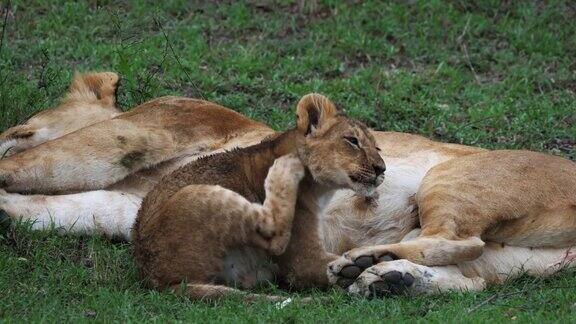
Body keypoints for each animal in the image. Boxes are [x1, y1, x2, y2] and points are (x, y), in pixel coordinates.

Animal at [1, 71, 576, 298]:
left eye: (21, 126)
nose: (9, 132)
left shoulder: (143, 129)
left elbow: (37, 165)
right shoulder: (133, 207)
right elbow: (63, 207)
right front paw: (9, 212)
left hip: (449, 177)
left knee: (457, 239)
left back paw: (359, 263)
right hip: (512, 260)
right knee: (469, 273)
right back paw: (385, 277)